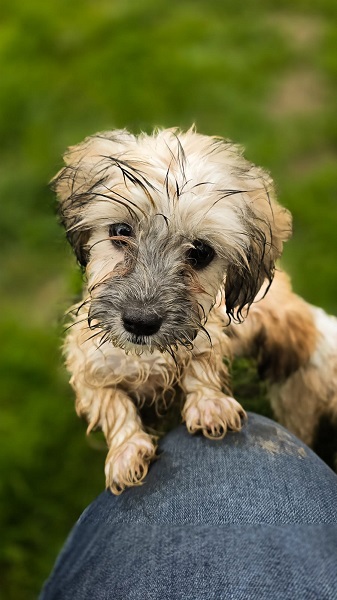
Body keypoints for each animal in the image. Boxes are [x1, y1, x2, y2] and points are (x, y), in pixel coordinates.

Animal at [52, 127, 334, 492]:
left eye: (200, 252)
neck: (146, 359)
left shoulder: (211, 329)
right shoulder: (88, 367)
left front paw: (210, 404)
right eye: (121, 232)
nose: (140, 323)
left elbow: (202, 358)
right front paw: (126, 452)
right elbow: (112, 403)